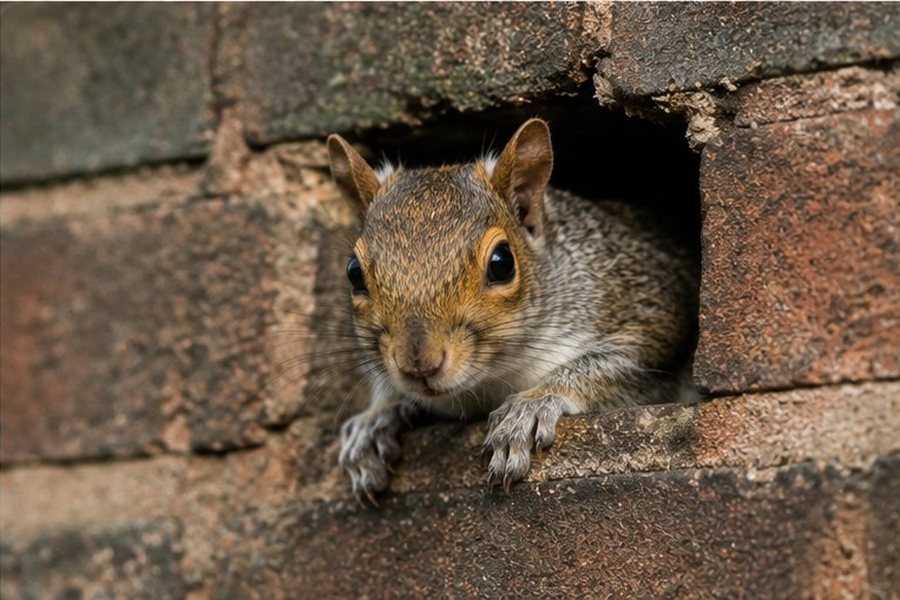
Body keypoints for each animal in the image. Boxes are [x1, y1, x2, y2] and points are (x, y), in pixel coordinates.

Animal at [326, 119, 698, 501]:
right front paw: (374, 420)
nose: (419, 364)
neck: (490, 381)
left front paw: (532, 404)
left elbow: (614, 365)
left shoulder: (646, 310)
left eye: (502, 263)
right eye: (353, 273)